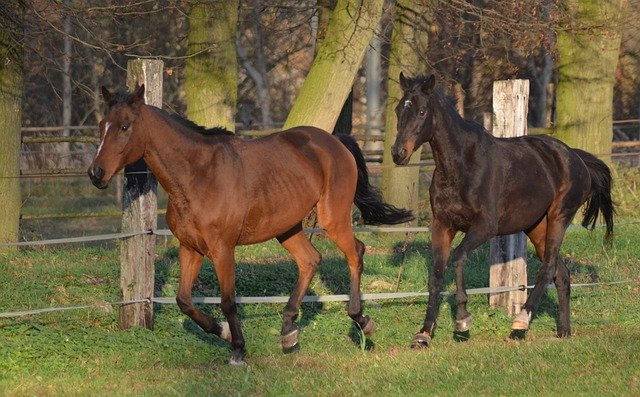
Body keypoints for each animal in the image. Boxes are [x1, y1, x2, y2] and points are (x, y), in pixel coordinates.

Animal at [87, 85, 412, 364]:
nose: (95, 173)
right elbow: (184, 300)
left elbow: (228, 301)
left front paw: (238, 350)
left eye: (125, 126)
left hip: (333, 219)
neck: (199, 175)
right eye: (102, 126)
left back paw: (362, 320)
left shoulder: (222, 249)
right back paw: (288, 334)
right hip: (287, 228)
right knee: (310, 260)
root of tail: (335, 142)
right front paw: (223, 332)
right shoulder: (190, 248)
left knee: (355, 253)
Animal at [390, 73, 616, 346]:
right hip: (536, 227)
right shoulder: (442, 226)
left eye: (422, 111)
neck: (461, 167)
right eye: (398, 110)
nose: (398, 153)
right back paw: (563, 331)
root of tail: (576, 157)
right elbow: (436, 275)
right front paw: (423, 334)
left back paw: (521, 321)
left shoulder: (484, 227)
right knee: (561, 273)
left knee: (548, 269)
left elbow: (458, 257)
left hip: (559, 217)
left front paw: (462, 320)